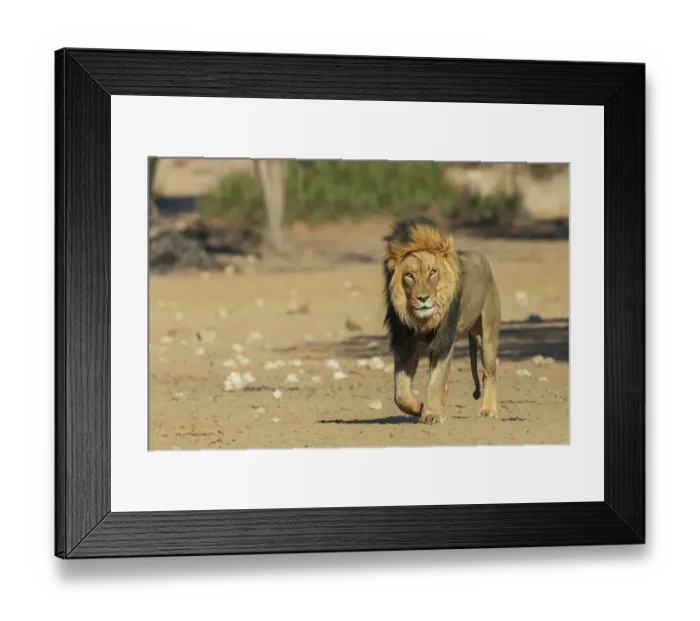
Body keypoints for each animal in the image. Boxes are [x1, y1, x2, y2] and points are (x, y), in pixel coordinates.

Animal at [382, 216, 502, 425]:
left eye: (432, 272)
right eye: (409, 275)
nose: (423, 298)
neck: (422, 321)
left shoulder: (443, 343)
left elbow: (436, 380)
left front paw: (431, 414)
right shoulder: (404, 346)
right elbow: (401, 394)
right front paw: (420, 408)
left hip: (488, 337)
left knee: (488, 374)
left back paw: (487, 410)